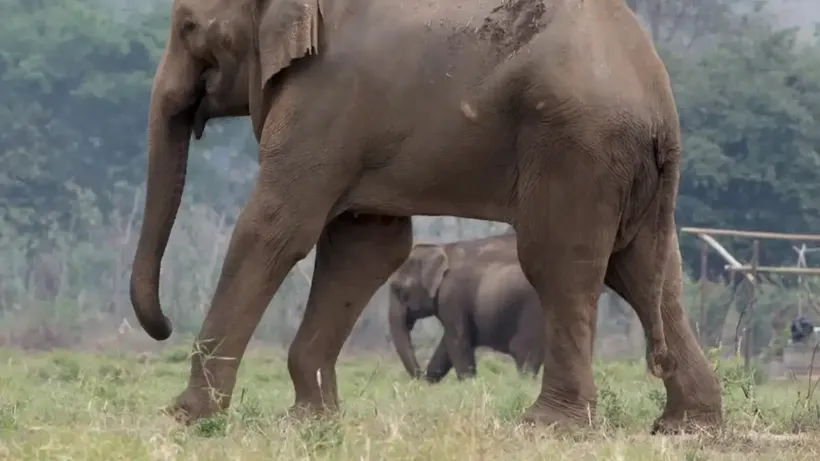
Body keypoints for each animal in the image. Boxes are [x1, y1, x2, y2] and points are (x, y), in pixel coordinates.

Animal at [388, 232, 545, 382]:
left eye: (398, 289)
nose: (419, 377)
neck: (444, 248)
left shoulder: (451, 295)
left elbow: (457, 339)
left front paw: (468, 383)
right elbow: (447, 344)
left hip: (533, 312)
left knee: (524, 353)